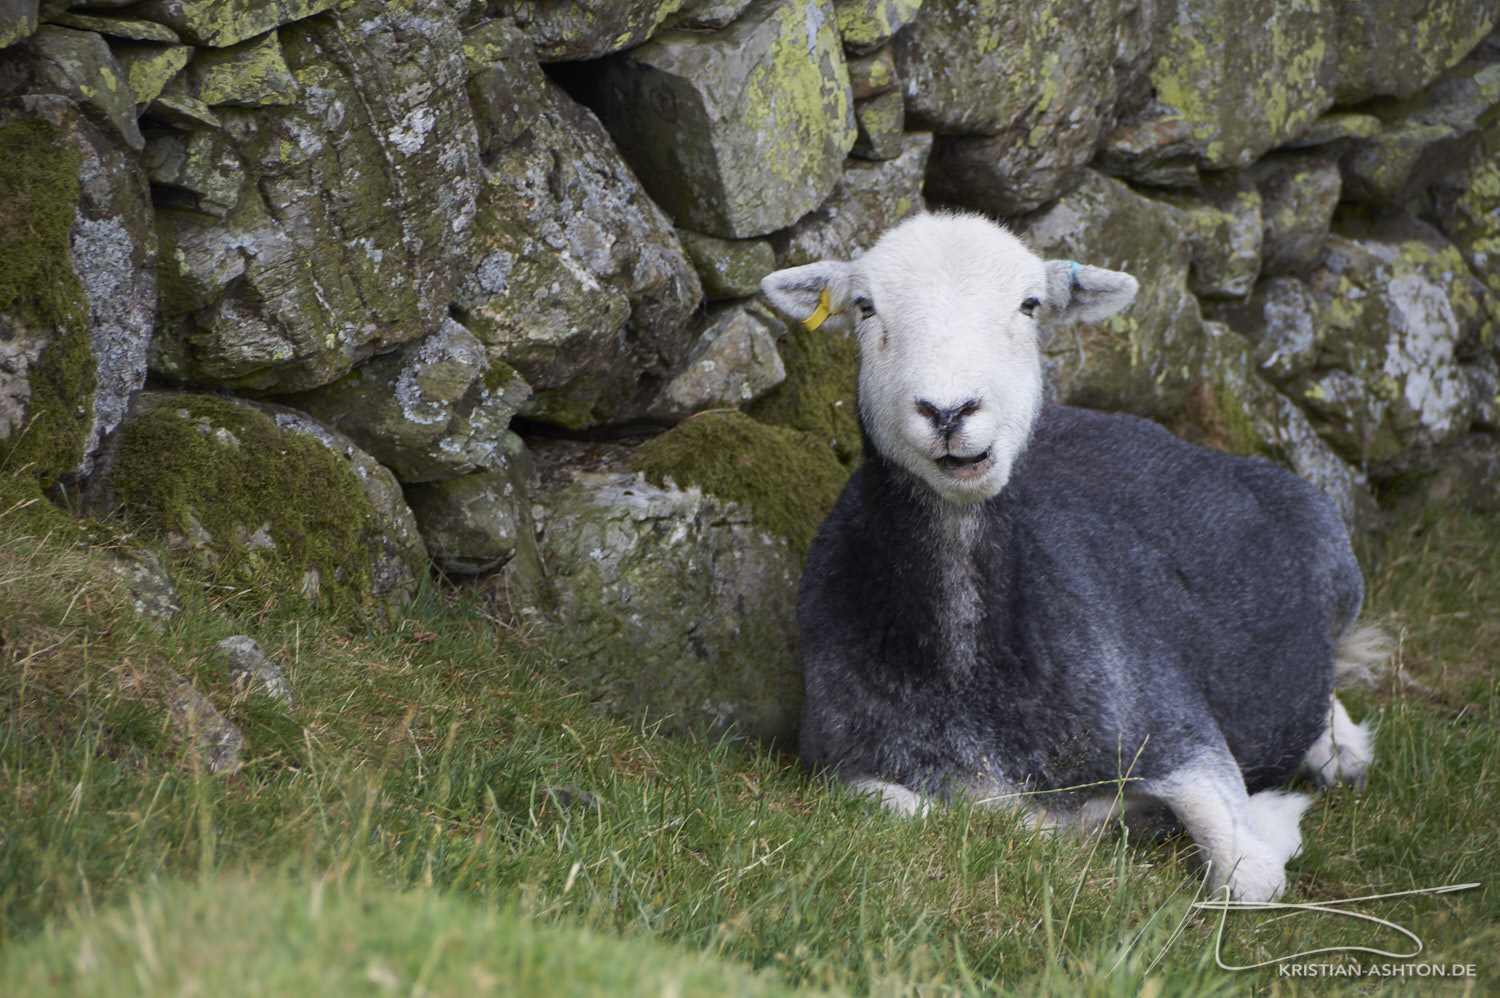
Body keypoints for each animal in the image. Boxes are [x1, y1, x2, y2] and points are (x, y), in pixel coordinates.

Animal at [762, 210, 1380, 900]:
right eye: (865, 308)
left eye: (1030, 305)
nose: (948, 412)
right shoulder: (841, 766)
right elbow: (926, 814)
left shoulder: (1176, 732)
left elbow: (1249, 876)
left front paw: (1271, 819)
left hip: (1336, 562)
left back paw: (1342, 754)